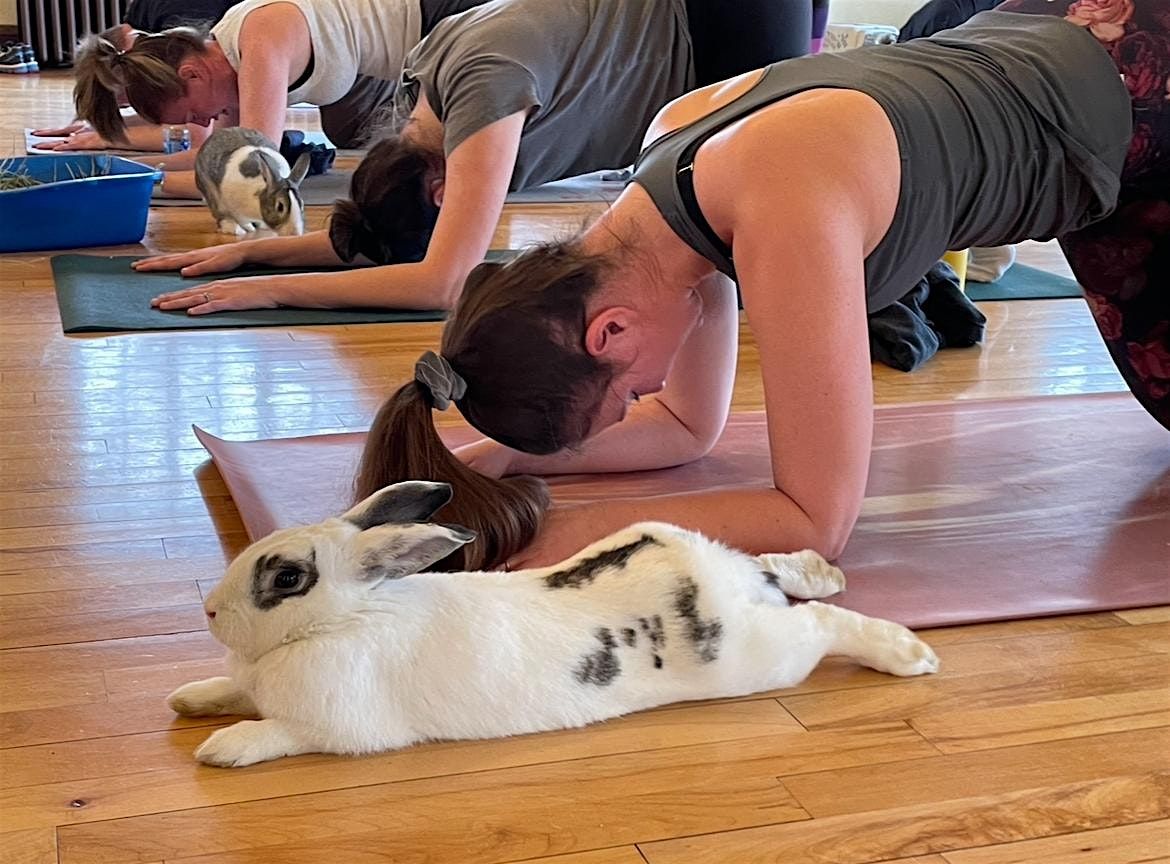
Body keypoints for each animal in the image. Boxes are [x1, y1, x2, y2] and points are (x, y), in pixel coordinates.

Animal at [169, 477, 940, 768]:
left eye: (287, 579)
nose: (209, 611)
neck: (346, 616)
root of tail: (713, 583)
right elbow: (225, 690)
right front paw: (188, 698)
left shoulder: (329, 726)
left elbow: (276, 733)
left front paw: (221, 748)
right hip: (727, 570)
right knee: (783, 574)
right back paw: (821, 569)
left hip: (755, 658)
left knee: (825, 626)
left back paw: (909, 653)